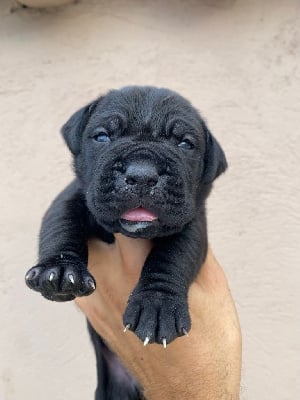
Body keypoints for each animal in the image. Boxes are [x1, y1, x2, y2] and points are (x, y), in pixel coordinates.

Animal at [25, 86, 226, 400]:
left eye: (185, 144)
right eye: (102, 137)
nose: (142, 174)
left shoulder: (191, 222)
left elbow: (173, 256)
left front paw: (157, 306)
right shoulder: (72, 197)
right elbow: (61, 227)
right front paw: (59, 271)